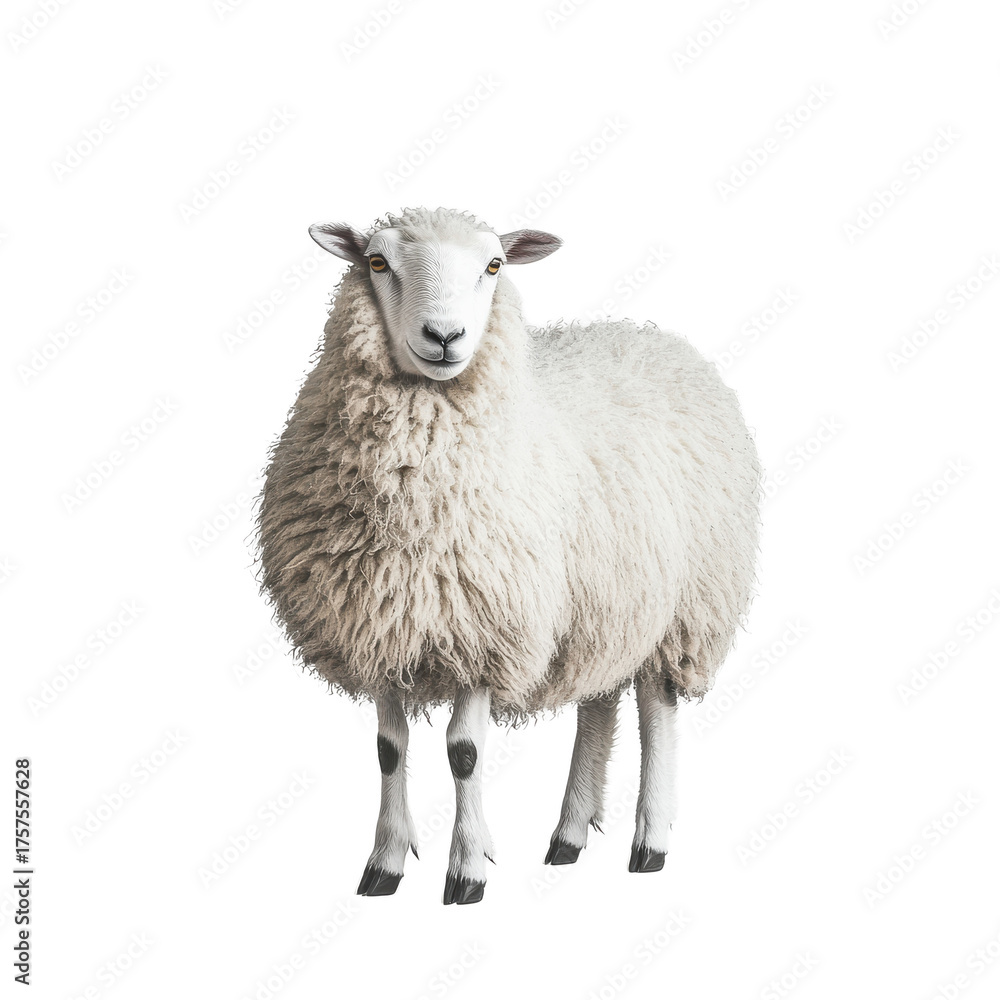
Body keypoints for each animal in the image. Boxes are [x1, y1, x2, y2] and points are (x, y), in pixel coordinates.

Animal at [257, 206, 760, 905]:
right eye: (377, 262)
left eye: (493, 265)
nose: (445, 336)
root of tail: (653, 338)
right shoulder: (382, 620)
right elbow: (389, 749)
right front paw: (384, 865)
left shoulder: (484, 627)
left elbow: (464, 752)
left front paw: (466, 870)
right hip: (602, 603)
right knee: (598, 699)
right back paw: (568, 836)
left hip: (683, 602)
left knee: (657, 709)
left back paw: (650, 843)